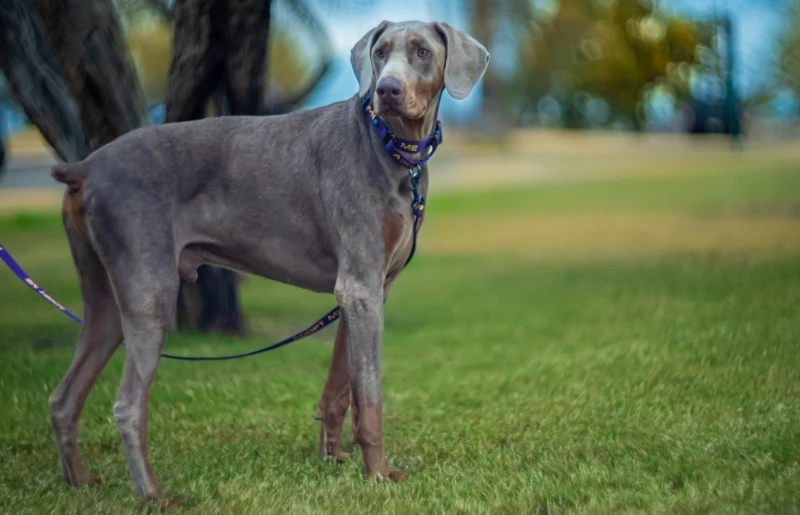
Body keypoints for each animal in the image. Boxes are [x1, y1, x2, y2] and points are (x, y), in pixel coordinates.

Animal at [50, 20, 490, 504]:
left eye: (422, 52)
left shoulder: (365, 292)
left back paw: (78, 481)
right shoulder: (360, 288)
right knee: (127, 404)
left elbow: (340, 389)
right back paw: (154, 496)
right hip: (149, 291)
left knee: (64, 397)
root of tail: (86, 166)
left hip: (106, 298)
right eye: (380, 53)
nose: (387, 90)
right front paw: (378, 475)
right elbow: (370, 397)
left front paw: (334, 458)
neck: (391, 149)